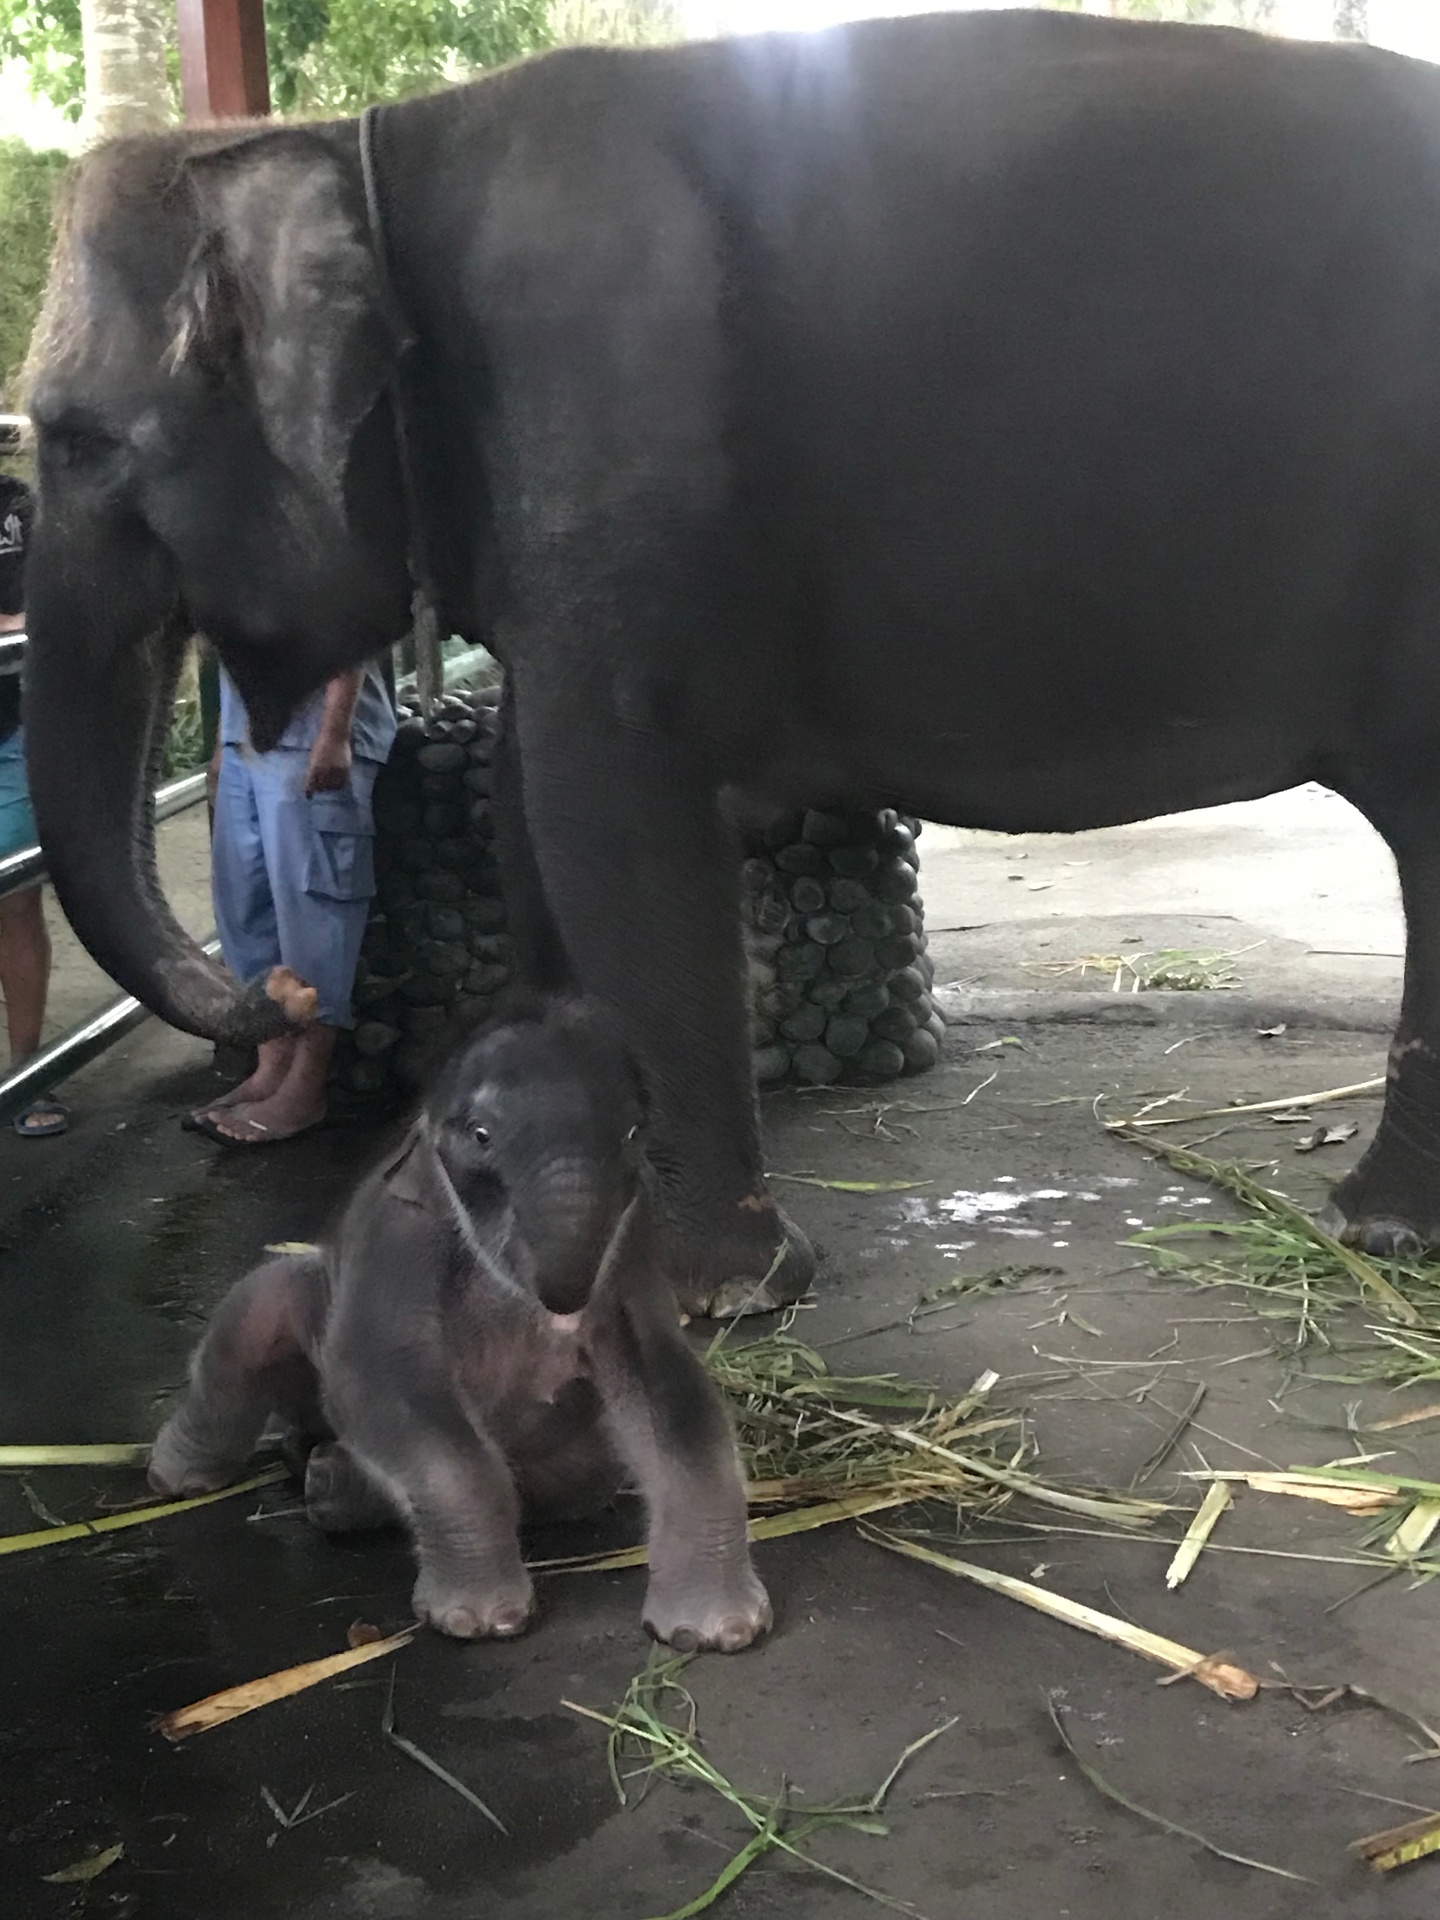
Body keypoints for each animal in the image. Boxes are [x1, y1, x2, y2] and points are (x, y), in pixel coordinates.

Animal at [22, 9, 1440, 1318]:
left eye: (78, 440)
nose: (275, 990)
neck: (356, 146)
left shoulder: (612, 450)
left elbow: (610, 829)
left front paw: (725, 1296)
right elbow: (533, 827)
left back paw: (1371, 1230)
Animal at [148, 996, 771, 1650]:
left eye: (631, 1133)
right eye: (480, 1136)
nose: (566, 1314)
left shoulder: (635, 1237)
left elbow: (665, 1387)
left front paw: (716, 1632)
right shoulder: (397, 1239)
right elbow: (382, 1379)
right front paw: (477, 1621)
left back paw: (327, 1483)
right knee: (252, 1319)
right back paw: (185, 1481)